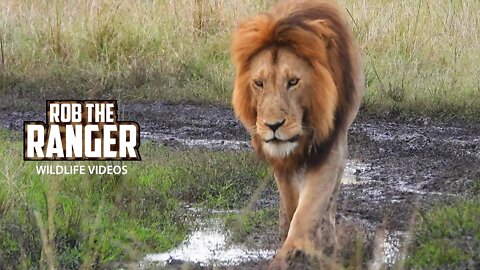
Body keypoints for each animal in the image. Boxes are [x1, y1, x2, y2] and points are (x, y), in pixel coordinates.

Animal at [231, 0, 362, 268]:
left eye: (293, 82)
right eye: (259, 83)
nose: (273, 125)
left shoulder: (329, 148)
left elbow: (308, 209)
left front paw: (301, 250)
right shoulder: (281, 161)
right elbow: (292, 202)